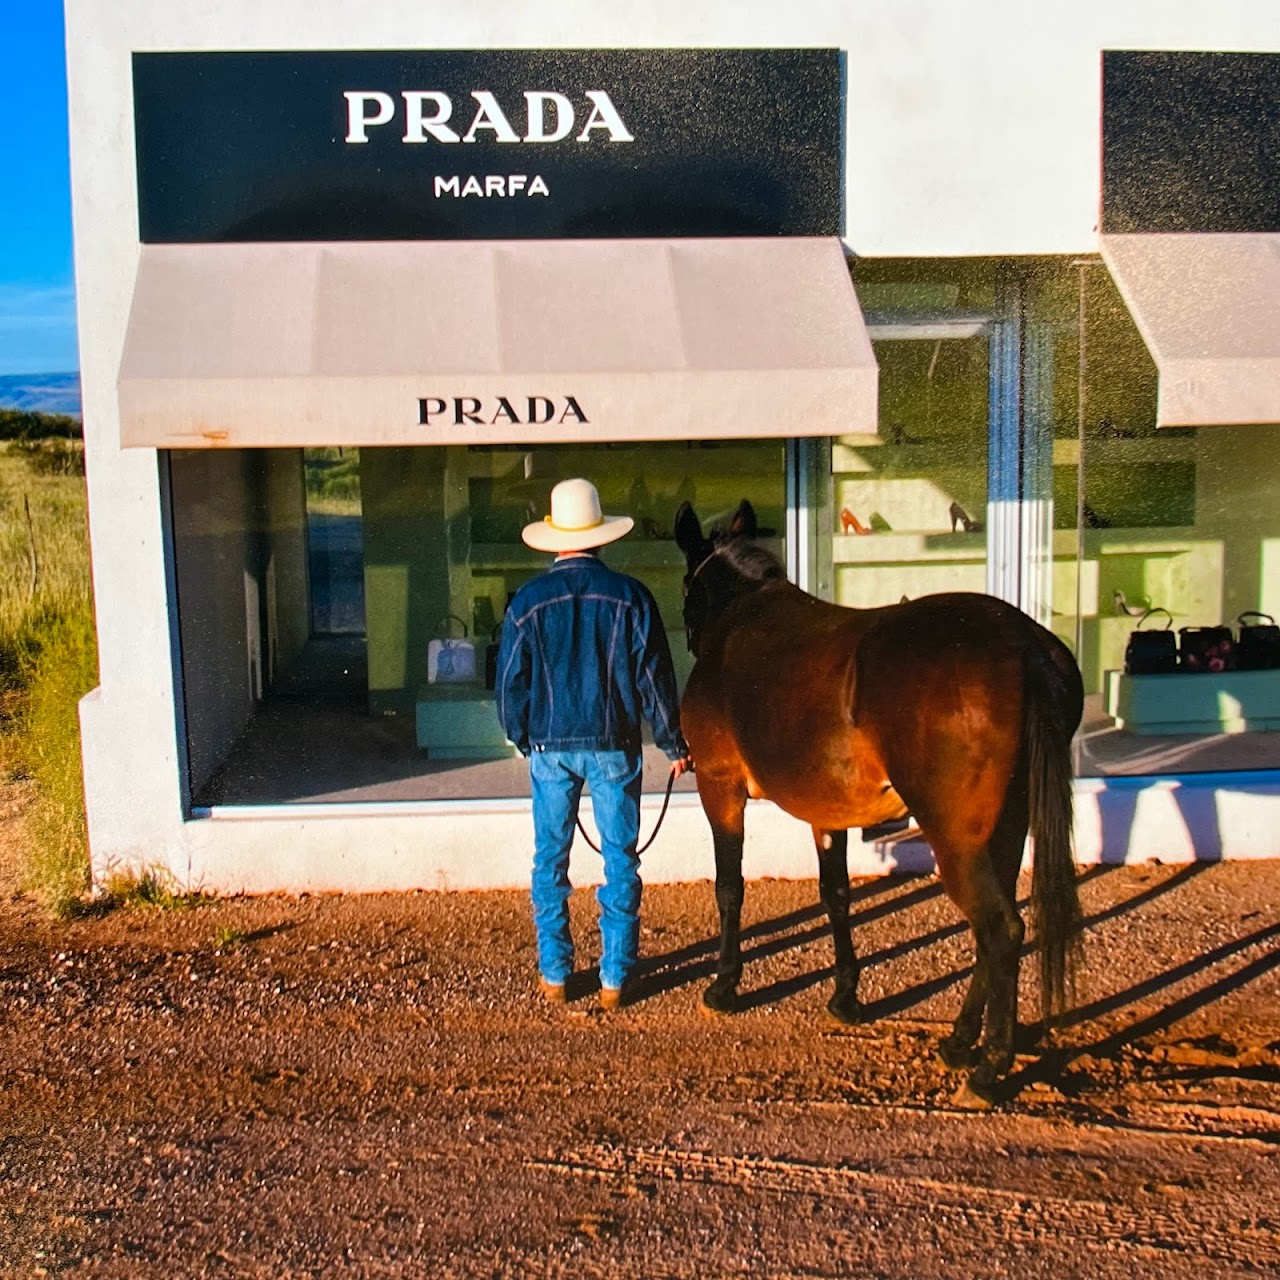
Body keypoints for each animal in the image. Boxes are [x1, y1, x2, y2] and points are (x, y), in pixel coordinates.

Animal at [675, 496, 1085, 1100]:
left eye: (685, 586)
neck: (742, 617)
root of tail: (1027, 649)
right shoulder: (827, 810)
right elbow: (836, 895)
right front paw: (846, 997)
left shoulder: (719, 785)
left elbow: (730, 889)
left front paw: (724, 987)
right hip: (1005, 829)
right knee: (993, 929)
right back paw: (960, 1041)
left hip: (956, 839)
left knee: (1000, 930)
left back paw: (988, 1067)